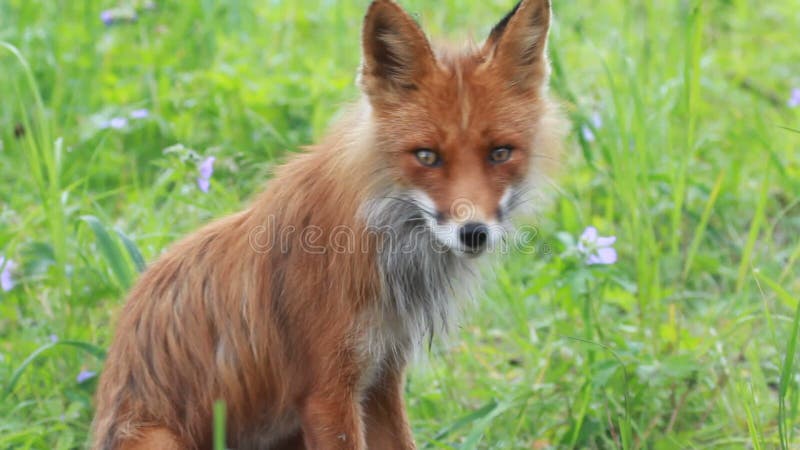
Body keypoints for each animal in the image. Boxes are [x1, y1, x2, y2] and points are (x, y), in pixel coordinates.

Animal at [90, 0, 564, 448]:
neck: (382, 241)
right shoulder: (326, 390)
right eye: (427, 156)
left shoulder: (381, 377)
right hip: (161, 438)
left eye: (500, 153)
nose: (474, 233)